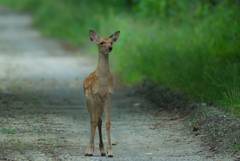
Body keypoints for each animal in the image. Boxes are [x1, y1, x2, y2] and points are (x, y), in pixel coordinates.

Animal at [83, 29, 120, 157]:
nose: (110, 47)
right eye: (101, 42)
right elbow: (93, 122)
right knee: (92, 121)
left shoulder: (108, 96)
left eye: (111, 42)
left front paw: (110, 152)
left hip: (99, 105)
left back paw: (102, 150)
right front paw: (89, 151)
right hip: (88, 102)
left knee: (99, 121)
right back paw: (90, 149)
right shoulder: (94, 96)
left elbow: (108, 123)